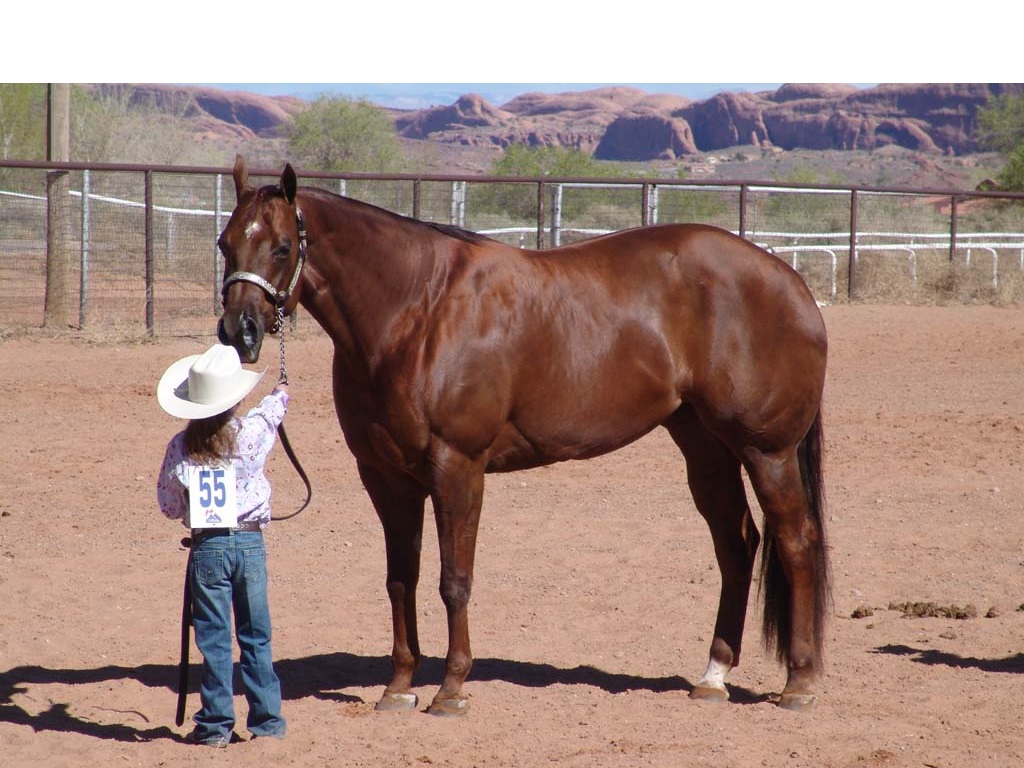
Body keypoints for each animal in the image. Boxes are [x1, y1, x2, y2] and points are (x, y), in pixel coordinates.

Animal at [217, 155, 830, 715]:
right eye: (226, 244)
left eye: (281, 247)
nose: (238, 331)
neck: (416, 311)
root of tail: (790, 281)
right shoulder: (387, 477)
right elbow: (400, 579)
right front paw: (398, 687)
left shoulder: (458, 467)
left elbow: (454, 579)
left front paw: (451, 689)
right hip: (705, 447)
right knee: (737, 542)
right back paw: (713, 677)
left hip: (767, 451)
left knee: (796, 541)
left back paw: (799, 684)